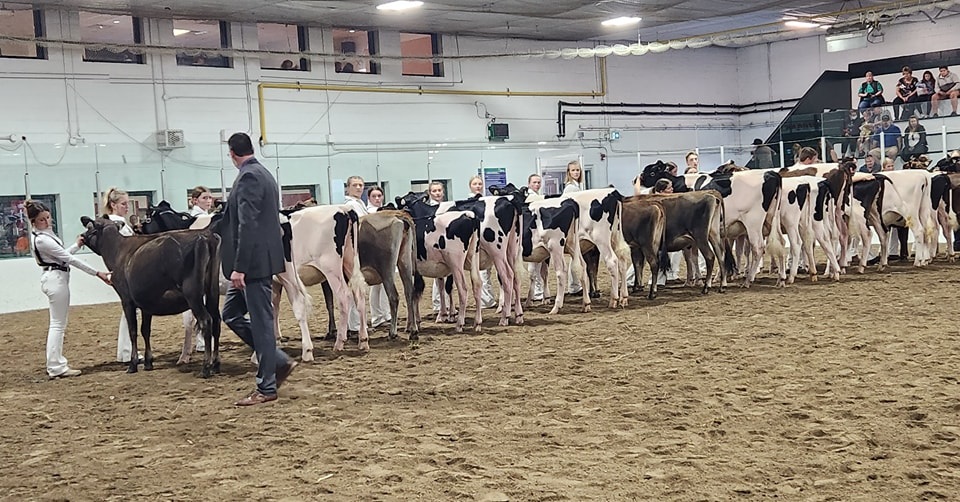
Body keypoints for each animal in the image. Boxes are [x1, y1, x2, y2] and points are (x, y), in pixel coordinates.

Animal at [80, 216, 221, 376]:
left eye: (89, 226)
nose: (81, 236)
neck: (117, 250)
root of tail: (204, 236)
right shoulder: (146, 303)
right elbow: (145, 330)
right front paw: (148, 362)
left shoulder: (127, 300)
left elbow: (133, 331)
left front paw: (133, 364)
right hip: (213, 291)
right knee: (216, 321)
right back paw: (215, 364)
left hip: (193, 294)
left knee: (206, 321)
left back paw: (206, 367)